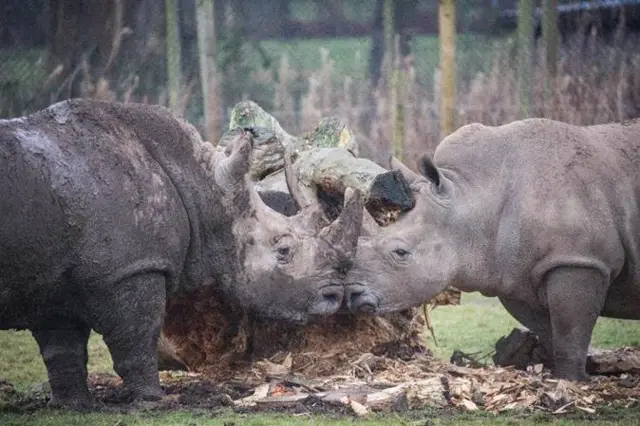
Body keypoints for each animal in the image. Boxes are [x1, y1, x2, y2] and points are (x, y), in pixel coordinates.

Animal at [0, 98, 362, 408]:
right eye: (284, 250)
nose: (334, 297)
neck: (204, 191)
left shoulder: (50, 279)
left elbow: (62, 351)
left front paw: (74, 406)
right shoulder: (131, 269)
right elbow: (137, 337)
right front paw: (151, 400)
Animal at [344, 118, 640, 382]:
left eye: (401, 253)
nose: (351, 295)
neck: (475, 199)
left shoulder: (581, 260)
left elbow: (570, 331)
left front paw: (571, 382)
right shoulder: (515, 274)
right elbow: (550, 330)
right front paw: (563, 373)